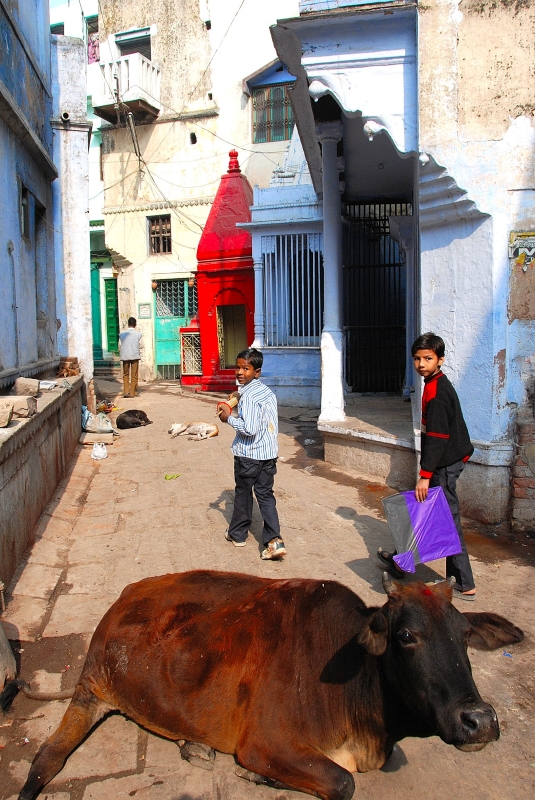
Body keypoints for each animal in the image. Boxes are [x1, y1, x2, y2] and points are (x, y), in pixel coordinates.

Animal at [3, 572, 524, 800]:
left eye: (465, 636)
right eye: (406, 637)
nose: (480, 721)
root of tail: (117, 604)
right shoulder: (266, 743)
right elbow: (343, 782)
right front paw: (258, 777)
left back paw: (195, 746)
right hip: (90, 692)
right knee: (46, 759)